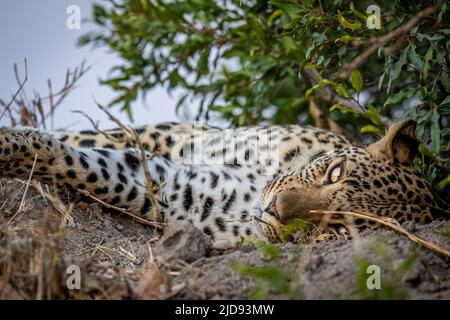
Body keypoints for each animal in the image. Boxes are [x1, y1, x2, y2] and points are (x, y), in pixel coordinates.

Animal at [0, 120, 444, 248]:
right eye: (333, 172)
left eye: (334, 229)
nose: (274, 210)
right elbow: (79, 144)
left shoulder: (176, 190)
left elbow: (86, 166)